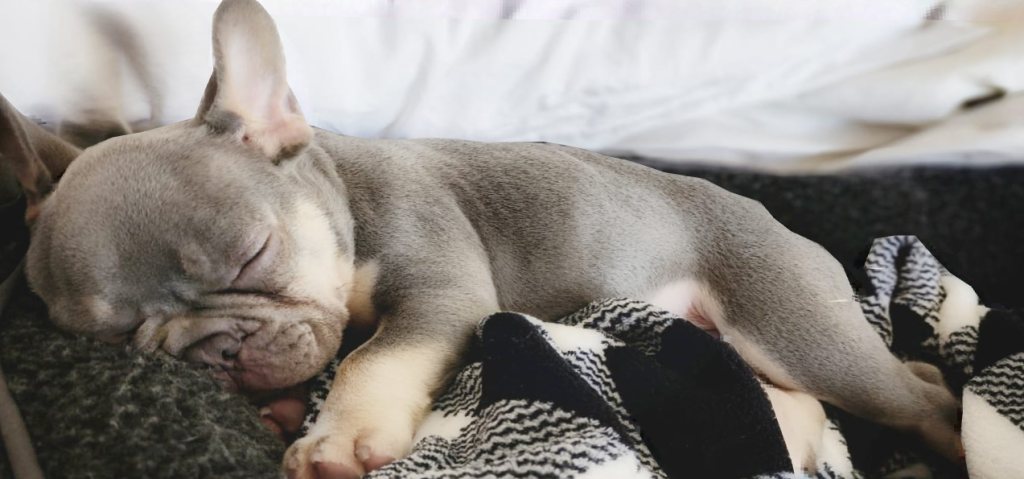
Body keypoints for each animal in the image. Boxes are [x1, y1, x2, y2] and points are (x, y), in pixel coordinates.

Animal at [2, 1, 958, 476]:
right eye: (113, 337)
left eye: (252, 256)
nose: (213, 353)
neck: (339, 191)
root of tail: (787, 230)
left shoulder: (438, 288)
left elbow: (372, 355)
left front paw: (338, 439)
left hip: (789, 322)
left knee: (916, 396)